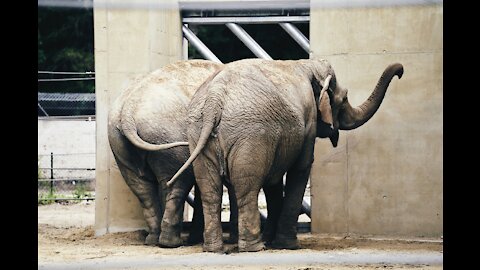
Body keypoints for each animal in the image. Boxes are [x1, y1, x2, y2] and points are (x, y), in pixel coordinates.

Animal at [109, 59, 238, 247]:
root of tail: (127, 112)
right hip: (167, 137)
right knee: (176, 183)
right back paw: (171, 243)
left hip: (120, 144)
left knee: (141, 188)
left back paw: (153, 240)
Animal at [167, 57, 404, 253]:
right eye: (344, 98)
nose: (401, 71)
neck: (307, 64)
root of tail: (214, 100)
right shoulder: (308, 122)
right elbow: (301, 168)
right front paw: (287, 245)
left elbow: (273, 180)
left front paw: (274, 241)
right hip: (251, 135)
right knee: (246, 187)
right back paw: (254, 248)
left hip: (198, 133)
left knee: (210, 190)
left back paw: (213, 249)